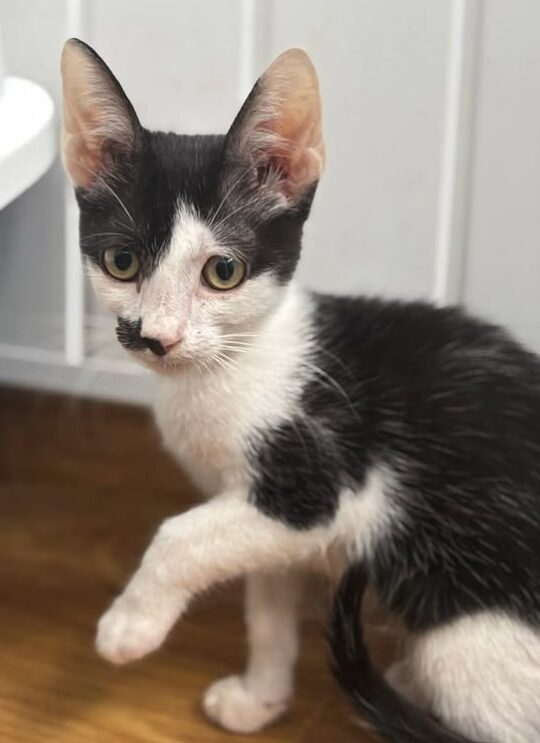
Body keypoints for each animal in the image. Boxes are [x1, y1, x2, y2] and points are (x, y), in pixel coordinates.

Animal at [59, 37, 540, 740]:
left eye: (223, 272)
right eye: (122, 262)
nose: (158, 337)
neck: (227, 372)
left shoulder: (315, 488)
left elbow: (181, 535)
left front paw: (129, 626)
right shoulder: (262, 521)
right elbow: (265, 605)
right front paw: (260, 698)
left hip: (465, 630)